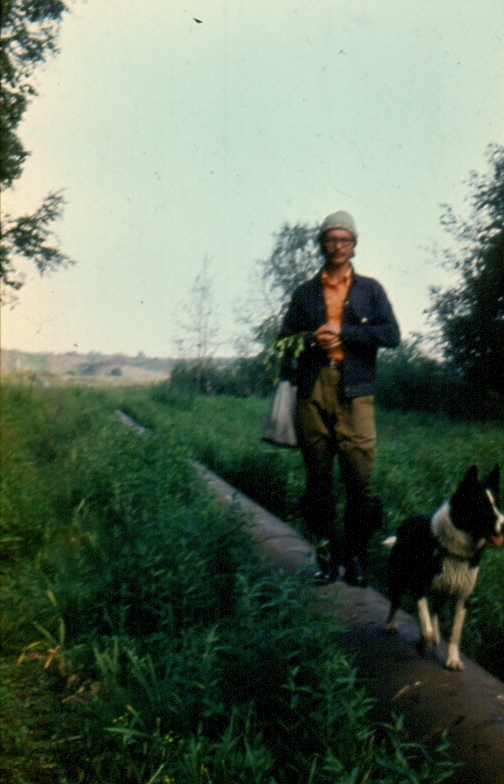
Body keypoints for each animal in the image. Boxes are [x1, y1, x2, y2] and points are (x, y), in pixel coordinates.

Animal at [383, 465, 503, 670]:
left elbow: (454, 634)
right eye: (482, 506)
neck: (456, 551)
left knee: (434, 611)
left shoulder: (461, 598)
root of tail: (406, 522)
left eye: (497, 504)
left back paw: (437, 636)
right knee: (395, 602)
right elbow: (426, 628)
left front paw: (453, 660)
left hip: (442, 591)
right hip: (398, 579)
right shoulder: (419, 588)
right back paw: (391, 625)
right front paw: (424, 644)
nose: (503, 525)